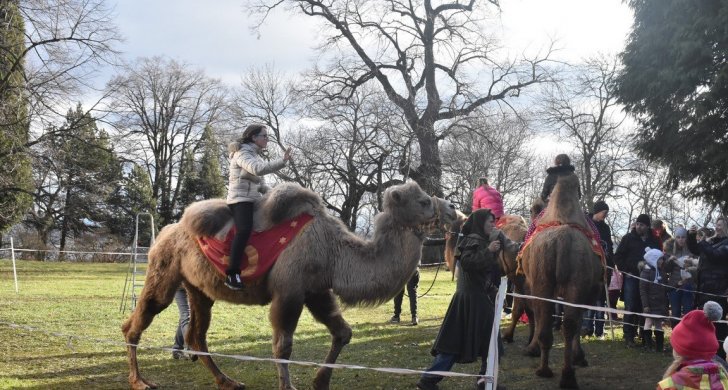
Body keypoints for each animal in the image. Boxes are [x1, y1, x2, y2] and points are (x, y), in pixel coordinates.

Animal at [122, 181, 458, 388]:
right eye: (423, 201)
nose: (453, 209)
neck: (334, 251)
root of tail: (165, 232)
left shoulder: (317, 290)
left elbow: (343, 333)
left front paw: (320, 382)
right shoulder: (290, 292)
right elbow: (283, 345)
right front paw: (289, 385)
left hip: (198, 290)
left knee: (196, 335)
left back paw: (228, 381)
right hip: (164, 272)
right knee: (136, 322)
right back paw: (140, 381)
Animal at [520, 172, 604, 388]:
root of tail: (563, 241)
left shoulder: (534, 285)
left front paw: (531, 349)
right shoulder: (588, 290)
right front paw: (579, 356)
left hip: (543, 283)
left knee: (546, 321)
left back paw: (545, 370)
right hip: (577, 284)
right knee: (570, 324)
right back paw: (568, 375)